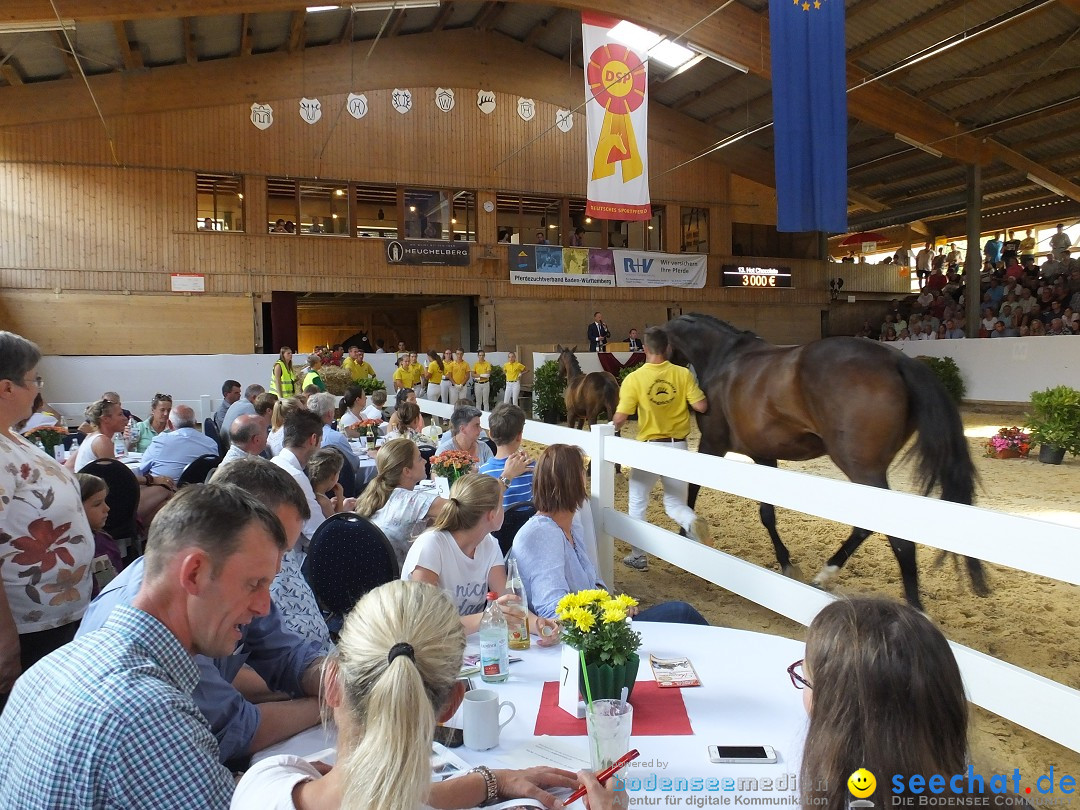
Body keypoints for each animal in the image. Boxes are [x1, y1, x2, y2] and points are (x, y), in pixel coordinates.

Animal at [660, 313, 984, 613]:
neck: (723, 356)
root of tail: (897, 359)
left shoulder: (713, 444)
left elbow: (692, 489)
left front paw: (685, 532)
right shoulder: (764, 455)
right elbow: (767, 514)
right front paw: (786, 563)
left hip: (862, 468)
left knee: (893, 534)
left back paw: (913, 608)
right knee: (866, 527)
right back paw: (825, 576)